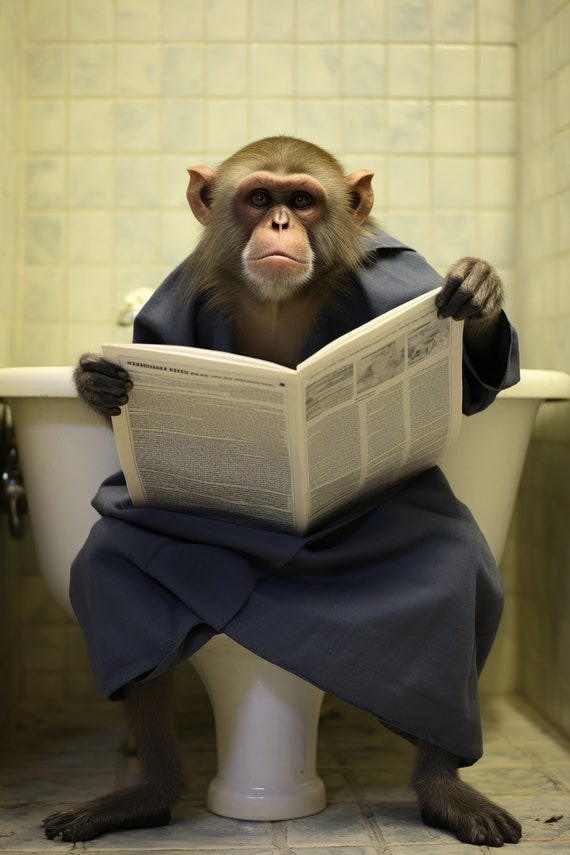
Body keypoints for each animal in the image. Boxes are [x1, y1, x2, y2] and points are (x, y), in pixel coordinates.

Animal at [44, 137, 522, 847]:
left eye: (302, 199)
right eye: (260, 197)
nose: (278, 223)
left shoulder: (406, 281)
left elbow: (469, 390)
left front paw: (482, 293)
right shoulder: (173, 303)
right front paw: (93, 382)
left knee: (454, 574)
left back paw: (445, 789)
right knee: (116, 570)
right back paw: (149, 794)